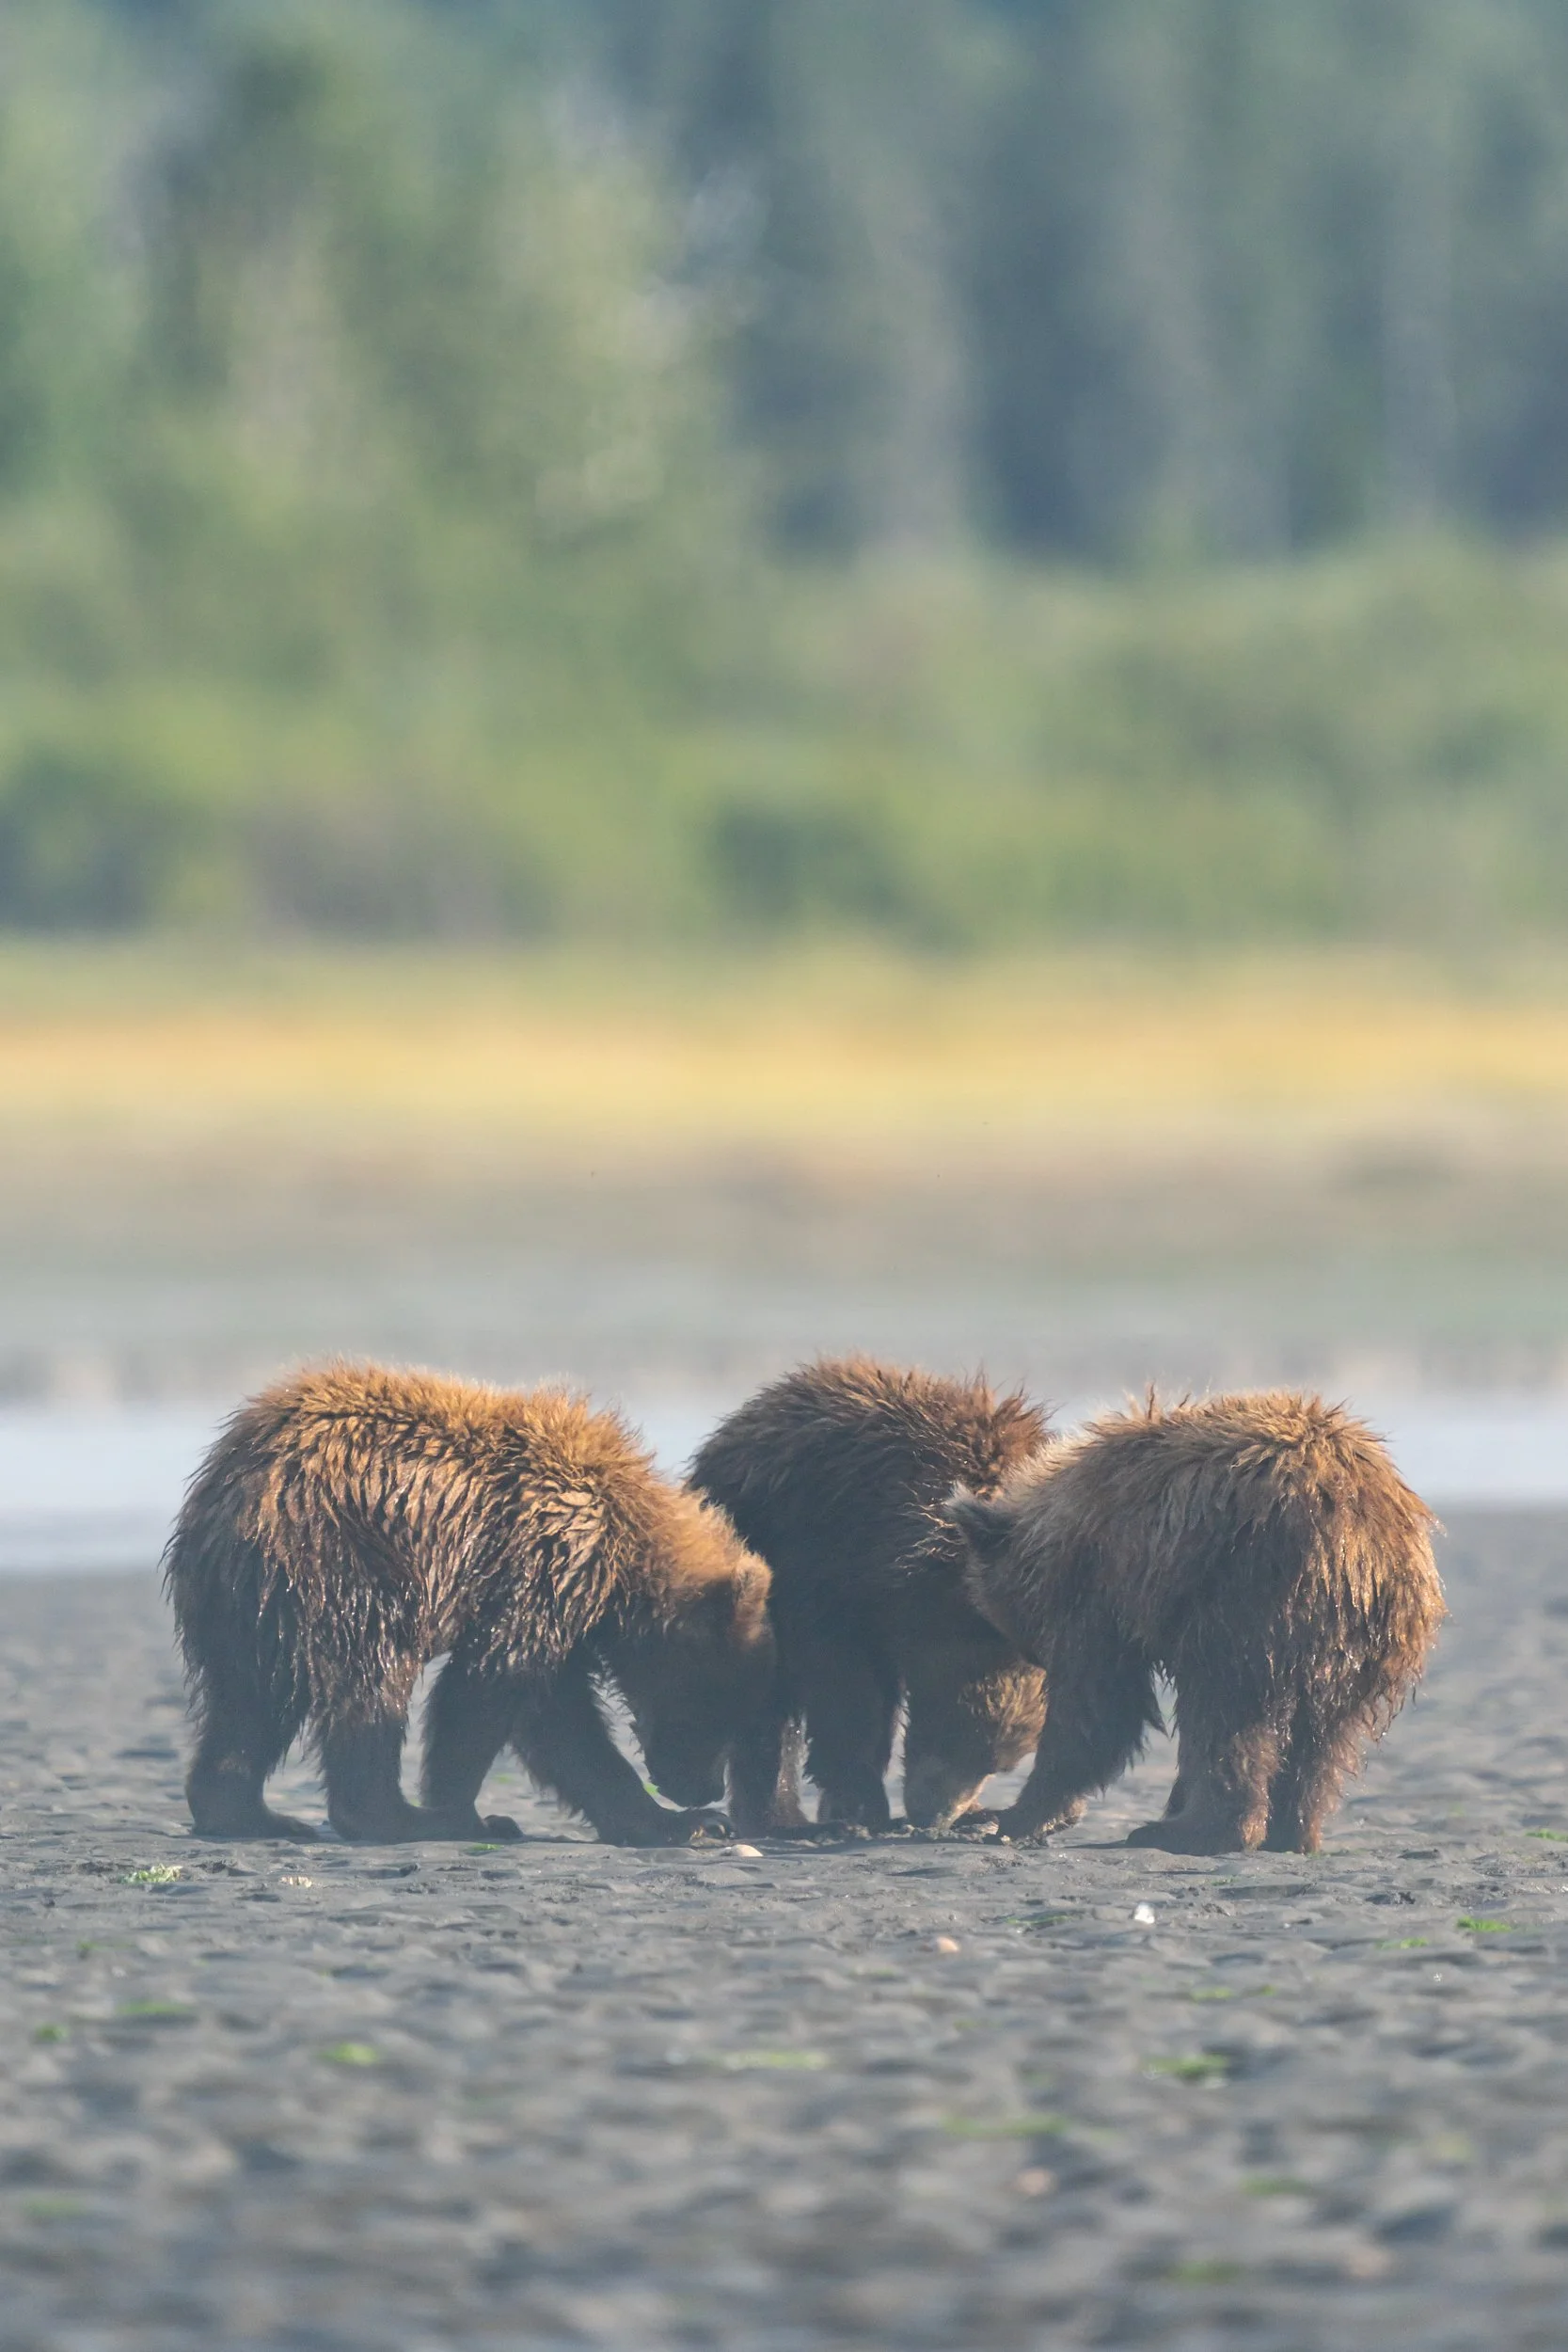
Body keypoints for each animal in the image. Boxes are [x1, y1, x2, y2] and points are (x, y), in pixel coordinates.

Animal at [164, 1362, 776, 1847]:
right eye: (720, 1706)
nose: (701, 1786)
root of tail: (231, 1482)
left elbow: (543, 1707)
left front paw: (680, 1820)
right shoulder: (547, 1561)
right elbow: (504, 1685)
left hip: (252, 1601)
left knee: (251, 1699)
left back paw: (248, 1812)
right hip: (341, 1560)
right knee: (370, 1682)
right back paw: (398, 1817)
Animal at [688, 1356, 1051, 1834]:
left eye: (998, 1762)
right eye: (954, 1732)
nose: (935, 1814)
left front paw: (978, 1813)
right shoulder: (823, 1564)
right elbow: (844, 1686)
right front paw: (859, 1801)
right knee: (768, 1700)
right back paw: (781, 1818)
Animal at [945, 1390, 1444, 1854]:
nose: (1033, 1654)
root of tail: (1362, 1541)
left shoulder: (1102, 1594)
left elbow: (1098, 1708)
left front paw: (1013, 1818)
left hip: (1248, 1594)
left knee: (1224, 1710)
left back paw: (1192, 1829)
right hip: (1363, 1639)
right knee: (1323, 1733)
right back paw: (1291, 1832)